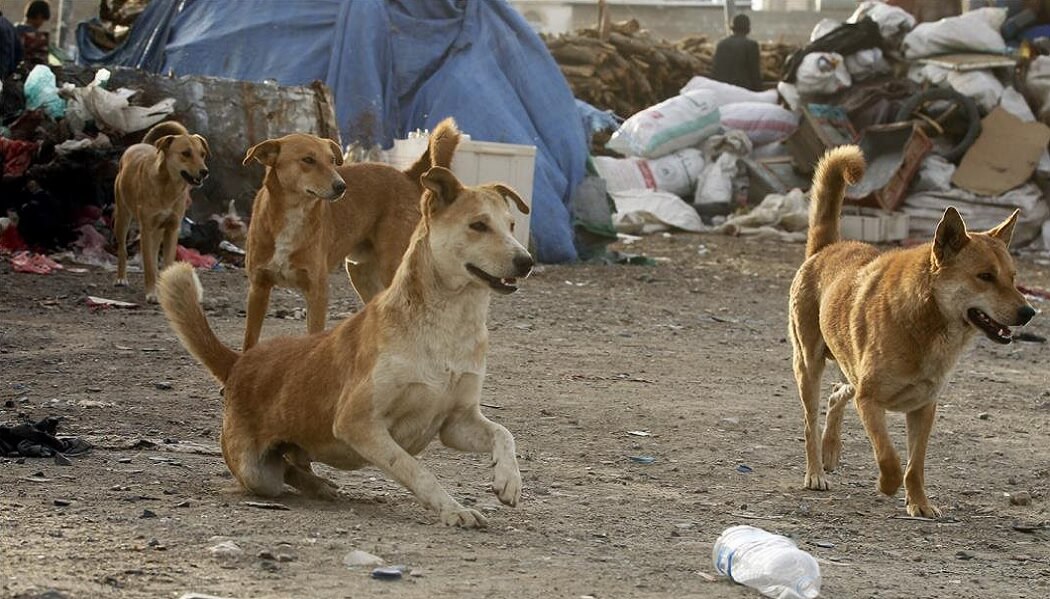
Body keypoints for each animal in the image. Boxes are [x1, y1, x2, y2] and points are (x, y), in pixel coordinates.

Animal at [113, 118, 207, 300]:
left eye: (202, 154)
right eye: (186, 153)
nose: (204, 172)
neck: (169, 187)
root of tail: (139, 145)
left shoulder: (172, 228)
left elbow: (166, 262)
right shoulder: (147, 229)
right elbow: (149, 264)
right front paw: (151, 293)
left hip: (157, 230)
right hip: (123, 217)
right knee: (123, 250)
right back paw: (121, 278)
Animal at [157, 166, 533, 525]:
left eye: (512, 225)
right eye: (478, 225)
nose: (526, 261)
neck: (450, 325)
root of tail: (240, 363)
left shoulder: (456, 423)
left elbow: (504, 433)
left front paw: (509, 480)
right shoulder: (357, 422)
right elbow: (417, 470)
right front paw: (454, 510)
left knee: (293, 466)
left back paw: (320, 485)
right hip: (257, 472)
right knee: (282, 473)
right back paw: (318, 485)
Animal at [243, 118, 461, 346]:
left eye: (332, 160)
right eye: (308, 160)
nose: (341, 186)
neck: (293, 214)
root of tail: (406, 175)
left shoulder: (317, 292)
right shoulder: (258, 288)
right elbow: (249, 340)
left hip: (392, 267)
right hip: (361, 273)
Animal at [789, 146, 1033, 517]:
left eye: (1013, 277)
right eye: (985, 277)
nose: (1029, 313)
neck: (929, 322)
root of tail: (825, 249)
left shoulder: (923, 408)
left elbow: (914, 465)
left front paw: (919, 503)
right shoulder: (870, 401)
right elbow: (889, 459)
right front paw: (887, 486)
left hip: (850, 370)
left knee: (836, 393)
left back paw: (831, 451)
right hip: (809, 366)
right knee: (810, 423)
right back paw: (816, 471)